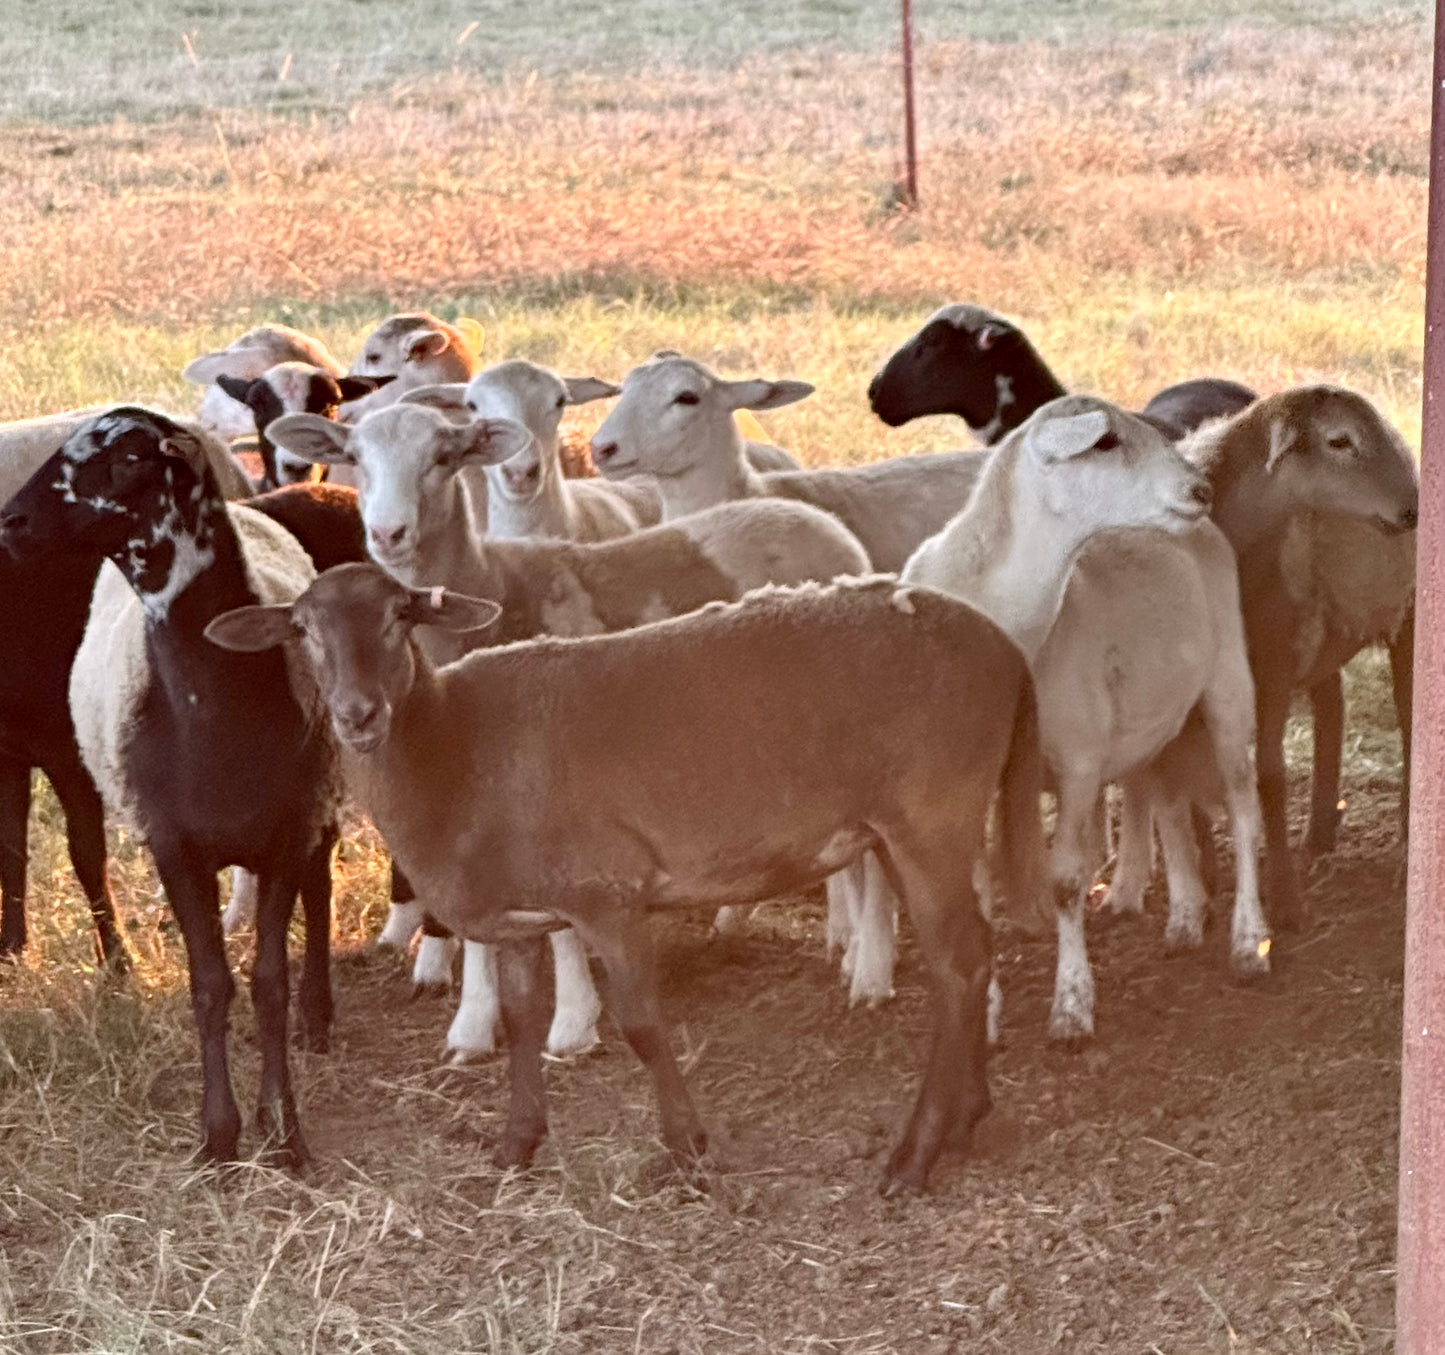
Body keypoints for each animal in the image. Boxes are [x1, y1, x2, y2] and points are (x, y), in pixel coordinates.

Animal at [0, 415, 257, 967]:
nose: (13, 521)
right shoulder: (6, 752)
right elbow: (10, 851)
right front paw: (11, 950)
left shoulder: (68, 746)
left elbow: (85, 851)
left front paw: (118, 959)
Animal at [207, 564, 1044, 1195]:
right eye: (302, 630)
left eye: (398, 616)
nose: (357, 714)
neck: (451, 750)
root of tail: (1004, 648)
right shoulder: (520, 915)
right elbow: (520, 1018)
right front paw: (517, 1145)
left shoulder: (607, 894)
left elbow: (642, 1022)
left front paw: (686, 1151)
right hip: (917, 826)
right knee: (973, 954)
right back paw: (965, 1117)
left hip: (929, 813)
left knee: (957, 965)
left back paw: (916, 1154)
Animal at [269, 401, 872, 1061]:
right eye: (355, 457)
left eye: (443, 457)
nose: (388, 535)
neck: (494, 587)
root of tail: (818, 521)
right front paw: (473, 1026)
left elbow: (562, 925)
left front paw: (573, 1023)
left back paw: (854, 949)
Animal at [1103, 387, 1418, 930]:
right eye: (1339, 440)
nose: (1413, 509)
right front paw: (1205, 880)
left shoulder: (1272, 666)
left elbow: (1269, 777)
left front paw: (1285, 899)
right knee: (1332, 707)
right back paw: (1318, 835)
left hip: (1404, 619)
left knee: (1407, 720)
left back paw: (1400, 846)